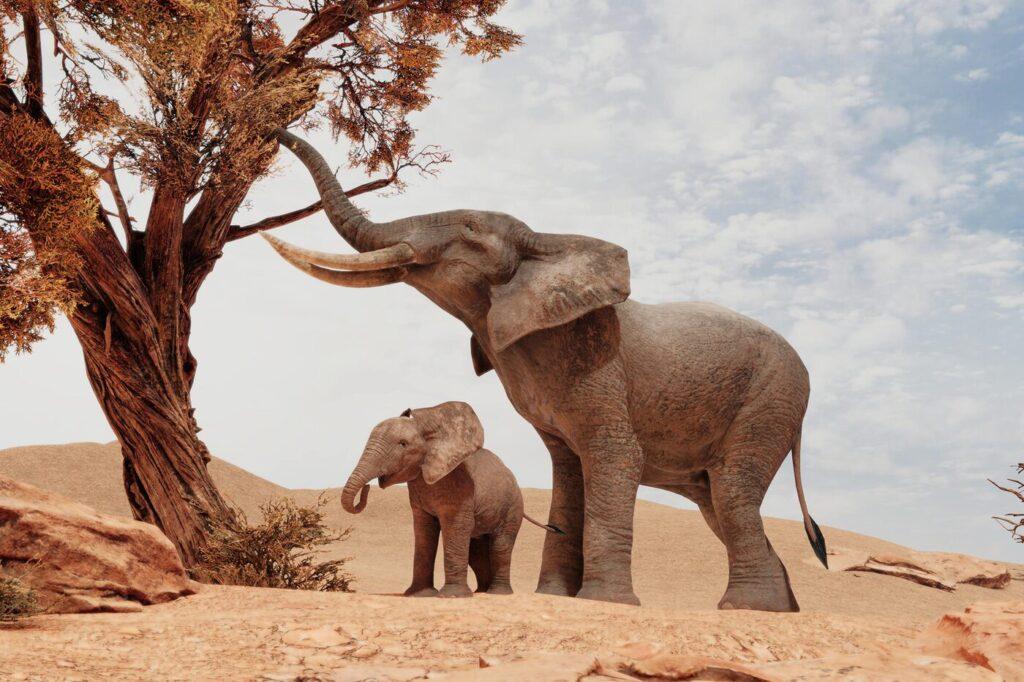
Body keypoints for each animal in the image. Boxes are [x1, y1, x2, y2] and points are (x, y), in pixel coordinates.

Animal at [340, 401, 560, 598]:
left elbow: (454, 528)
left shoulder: (460, 486)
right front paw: (419, 595)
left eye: (403, 444)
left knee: (501, 545)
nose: (367, 487)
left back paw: (498, 593)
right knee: (476, 551)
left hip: (512, 506)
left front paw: (452, 596)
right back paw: (481, 592)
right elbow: (424, 530)